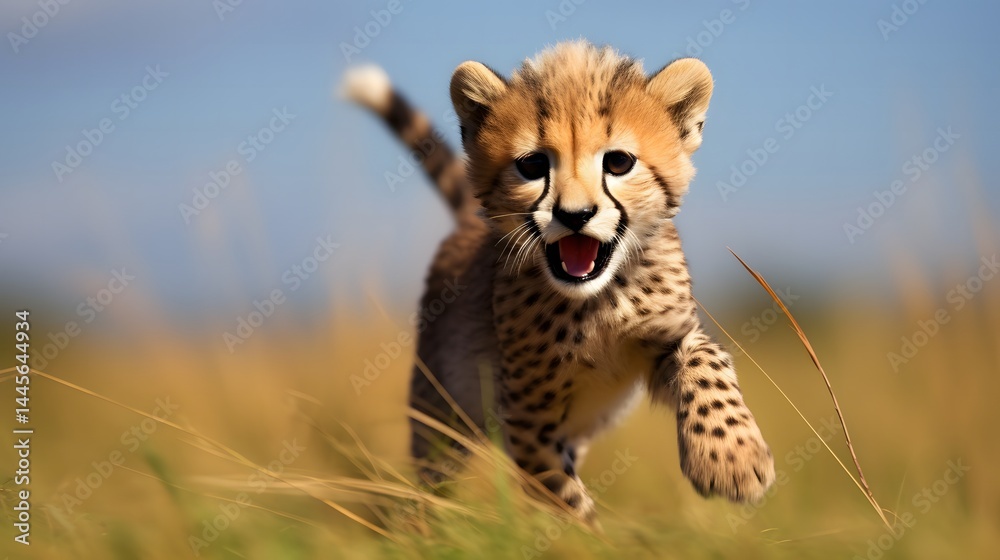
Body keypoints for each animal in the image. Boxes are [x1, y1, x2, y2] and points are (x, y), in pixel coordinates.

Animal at [342, 40, 775, 522]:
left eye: (618, 162)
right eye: (532, 165)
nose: (575, 215)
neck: (598, 298)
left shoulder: (666, 335)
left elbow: (706, 361)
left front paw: (732, 457)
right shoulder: (527, 415)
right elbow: (559, 492)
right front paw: (585, 533)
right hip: (441, 408)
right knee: (433, 473)